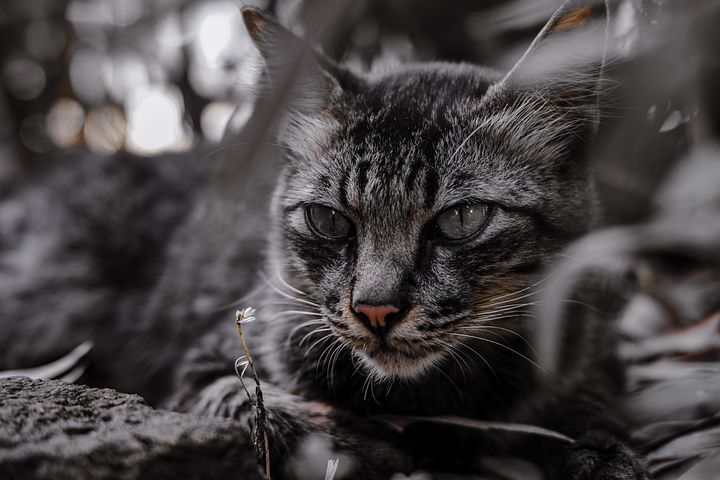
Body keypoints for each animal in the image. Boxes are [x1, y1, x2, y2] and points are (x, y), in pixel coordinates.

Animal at [167, 2, 648, 480]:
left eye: (462, 218)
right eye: (328, 220)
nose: (375, 310)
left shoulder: (592, 347)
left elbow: (590, 409)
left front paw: (604, 458)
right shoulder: (198, 369)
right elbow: (249, 404)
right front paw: (356, 447)